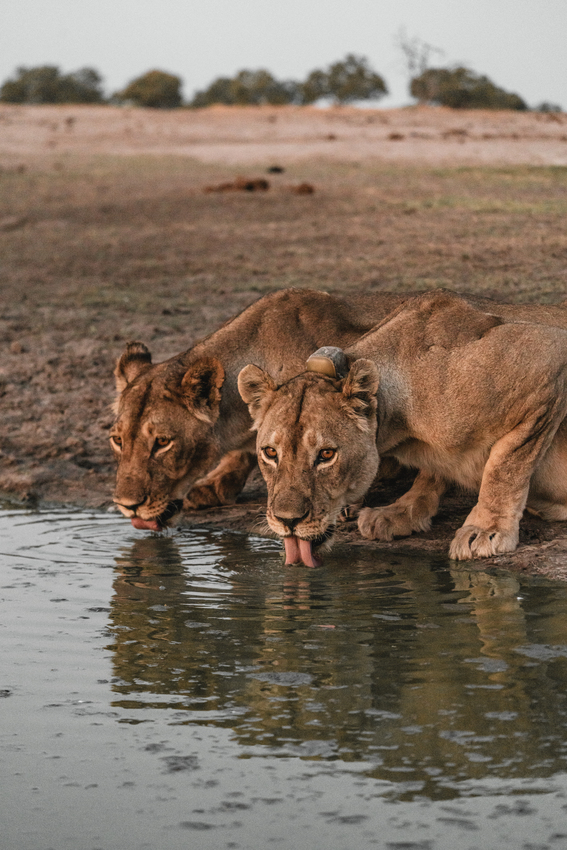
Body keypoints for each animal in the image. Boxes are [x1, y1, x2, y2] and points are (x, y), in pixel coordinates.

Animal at [238, 289, 567, 564]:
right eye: (270, 452)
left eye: (327, 455)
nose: (287, 521)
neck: (399, 428)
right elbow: (432, 473)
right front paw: (402, 512)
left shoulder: (548, 356)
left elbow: (507, 466)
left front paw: (486, 529)